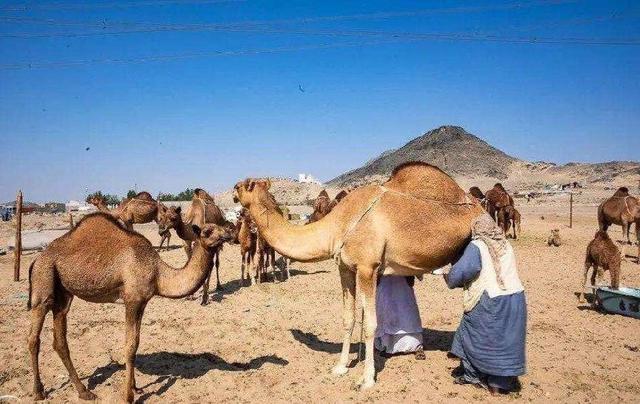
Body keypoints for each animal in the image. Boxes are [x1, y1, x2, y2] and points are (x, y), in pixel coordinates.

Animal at [26, 213, 235, 402]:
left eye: (220, 227)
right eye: (207, 231)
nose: (229, 232)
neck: (158, 272)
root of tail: (36, 259)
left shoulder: (142, 302)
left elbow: (136, 343)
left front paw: (135, 387)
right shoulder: (132, 300)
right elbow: (130, 346)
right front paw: (128, 396)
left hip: (64, 293)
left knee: (60, 339)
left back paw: (84, 392)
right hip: (43, 279)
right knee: (34, 336)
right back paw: (38, 391)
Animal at [232, 163, 482, 390]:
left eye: (243, 185)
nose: (233, 191)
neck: (337, 225)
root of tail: (477, 206)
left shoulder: (367, 267)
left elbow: (371, 324)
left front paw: (367, 378)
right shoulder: (345, 268)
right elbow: (348, 318)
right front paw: (341, 366)